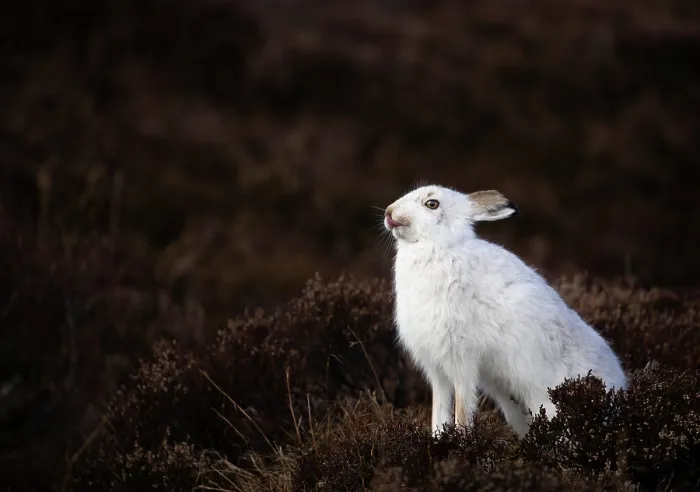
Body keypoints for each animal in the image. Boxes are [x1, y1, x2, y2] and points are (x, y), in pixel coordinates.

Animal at [383, 184, 627, 438]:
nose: (389, 212)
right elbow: (439, 409)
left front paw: (460, 441)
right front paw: (438, 438)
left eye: (432, 204)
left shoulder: (461, 358)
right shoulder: (436, 369)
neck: (437, 247)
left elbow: (462, 407)